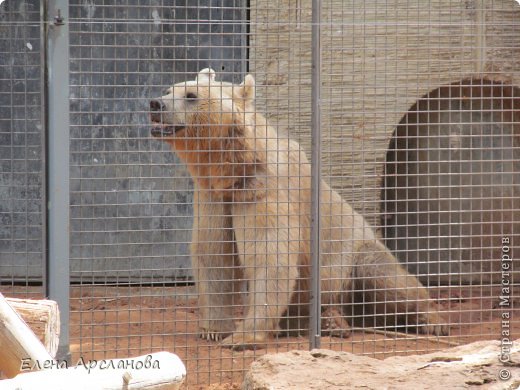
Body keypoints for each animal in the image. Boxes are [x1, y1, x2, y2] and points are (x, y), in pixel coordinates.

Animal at [149, 68, 446, 350]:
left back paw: (431, 319)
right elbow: (213, 254)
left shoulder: (265, 192)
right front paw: (213, 329)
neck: (235, 168)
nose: (155, 104)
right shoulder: (214, 196)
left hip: (352, 258)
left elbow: (269, 256)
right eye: (169, 90)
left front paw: (242, 337)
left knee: (385, 278)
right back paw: (332, 322)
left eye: (191, 95)